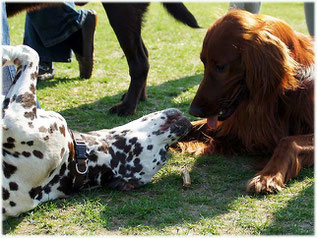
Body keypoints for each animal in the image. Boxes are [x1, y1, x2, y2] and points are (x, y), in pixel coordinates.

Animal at [1, 45, 190, 219]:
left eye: (163, 154)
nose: (186, 127)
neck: (77, 159)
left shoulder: (16, 119)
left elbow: (30, 52)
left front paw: (6, 52)